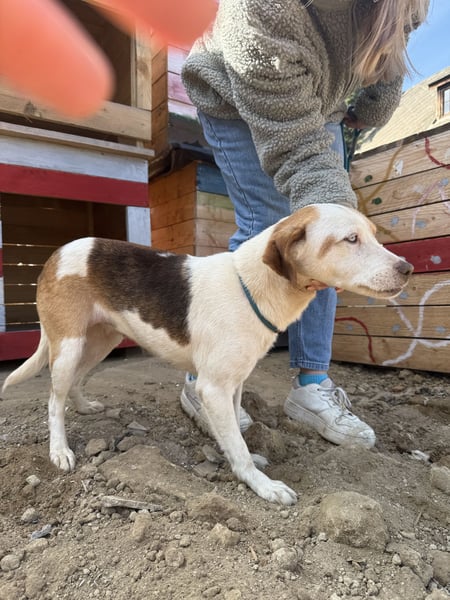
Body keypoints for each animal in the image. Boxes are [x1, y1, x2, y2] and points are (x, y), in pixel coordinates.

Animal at [2, 204, 413, 505]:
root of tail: (57, 253)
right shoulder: (213, 387)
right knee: (53, 399)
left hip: (103, 339)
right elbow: (238, 445)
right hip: (69, 344)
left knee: (74, 382)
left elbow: (235, 436)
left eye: (373, 235)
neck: (252, 286)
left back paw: (85, 406)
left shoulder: (234, 384)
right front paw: (262, 484)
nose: (407, 268)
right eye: (351, 239)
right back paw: (59, 450)